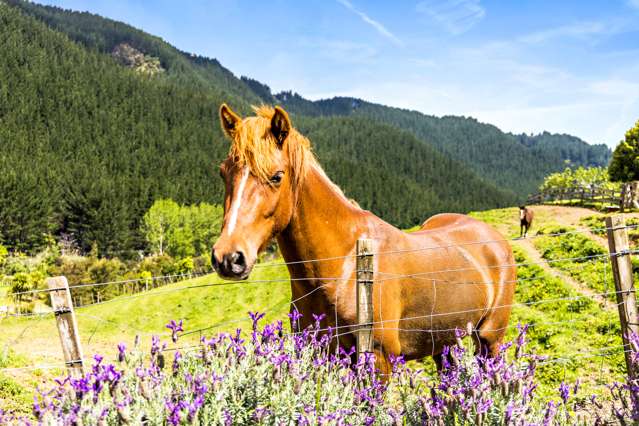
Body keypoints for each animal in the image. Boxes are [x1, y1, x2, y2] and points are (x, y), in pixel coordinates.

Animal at [212, 103, 516, 372]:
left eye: (276, 176)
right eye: (223, 172)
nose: (228, 257)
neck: (343, 263)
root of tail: (493, 237)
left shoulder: (378, 361)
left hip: (489, 342)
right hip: (444, 344)